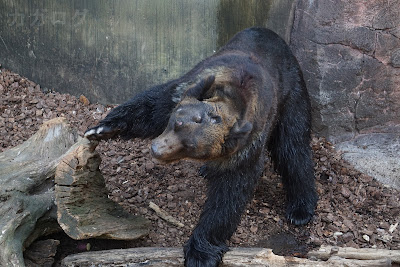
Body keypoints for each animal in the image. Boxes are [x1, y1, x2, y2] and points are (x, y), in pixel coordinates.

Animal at [86, 27, 318, 267]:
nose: (157, 149)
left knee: (293, 147)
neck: (232, 98)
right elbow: (148, 108)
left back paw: (300, 209)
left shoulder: (244, 148)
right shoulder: (182, 92)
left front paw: (200, 252)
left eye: (191, 146)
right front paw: (103, 129)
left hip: (292, 95)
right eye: (176, 122)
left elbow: (229, 196)